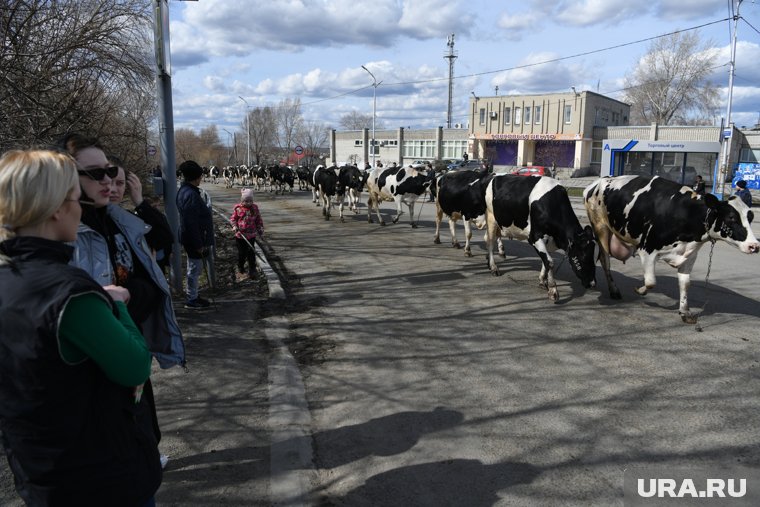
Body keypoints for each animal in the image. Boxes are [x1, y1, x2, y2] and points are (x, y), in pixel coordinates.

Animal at [584, 177, 756, 324]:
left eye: (751, 217)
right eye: (731, 217)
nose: (754, 245)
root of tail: (600, 181)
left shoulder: (689, 255)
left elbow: (685, 284)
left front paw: (685, 312)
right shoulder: (647, 250)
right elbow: (651, 282)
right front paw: (640, 290)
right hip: (601, 228)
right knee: (605, 261)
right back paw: (614, 290)